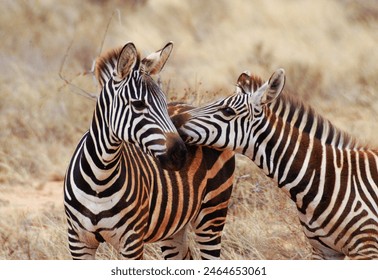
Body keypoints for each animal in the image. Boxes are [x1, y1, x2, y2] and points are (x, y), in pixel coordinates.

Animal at [64, 42, 235, 260]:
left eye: (163, 101)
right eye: (138, 104)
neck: (99, 180)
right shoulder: (78, 241)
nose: (181, 154)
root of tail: (190, 105)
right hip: (174, 226)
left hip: (213, 213)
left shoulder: (132, 241)